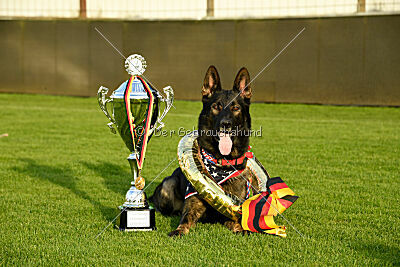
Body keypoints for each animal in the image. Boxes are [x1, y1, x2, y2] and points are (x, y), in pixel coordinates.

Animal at [150, 66, 253, 238]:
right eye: (216, 106)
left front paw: (241, 229)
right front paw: (178, 231)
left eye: (236, 108)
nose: (226, 124)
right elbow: (185, 219)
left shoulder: (231, 209)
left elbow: (236, 222)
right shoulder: (193, 204)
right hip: (167, 184)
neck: (221, 162)